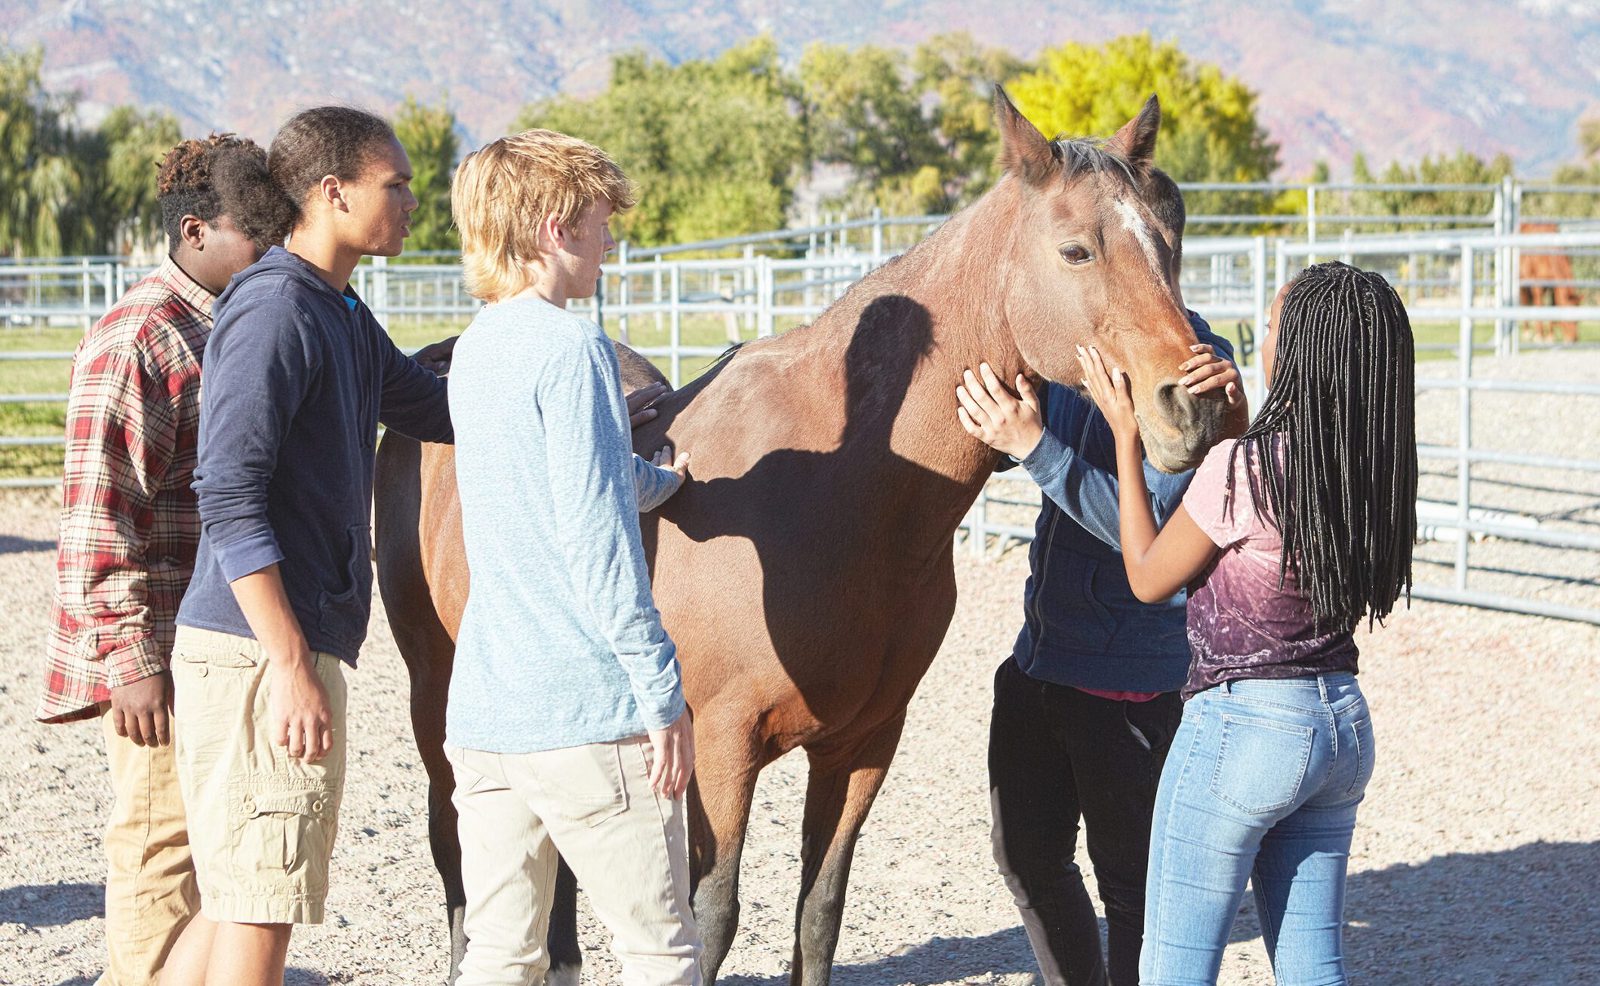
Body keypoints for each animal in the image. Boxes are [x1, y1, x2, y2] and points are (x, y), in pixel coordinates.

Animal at [374, 88, 1235, 979]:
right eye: (1076, 250)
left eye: (1171, 242)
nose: (1196, 403)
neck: (842, 489)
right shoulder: (719, 745)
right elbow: (712, 916)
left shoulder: (864, 744)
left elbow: (819, 911)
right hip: (435, 687)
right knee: (455, 841)